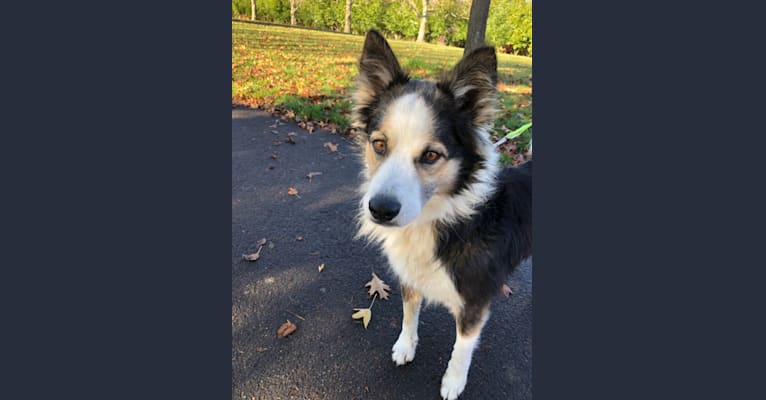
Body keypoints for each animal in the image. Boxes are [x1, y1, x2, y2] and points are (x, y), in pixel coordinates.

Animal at [354, 29, 536, 398]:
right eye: (379, 145)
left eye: (431, 156)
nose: (380, 210)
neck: (438, 218)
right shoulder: (410, 276)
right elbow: (409, 313)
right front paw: (405, 346)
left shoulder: (475, 301)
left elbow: (462, 348)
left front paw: (453, 382)